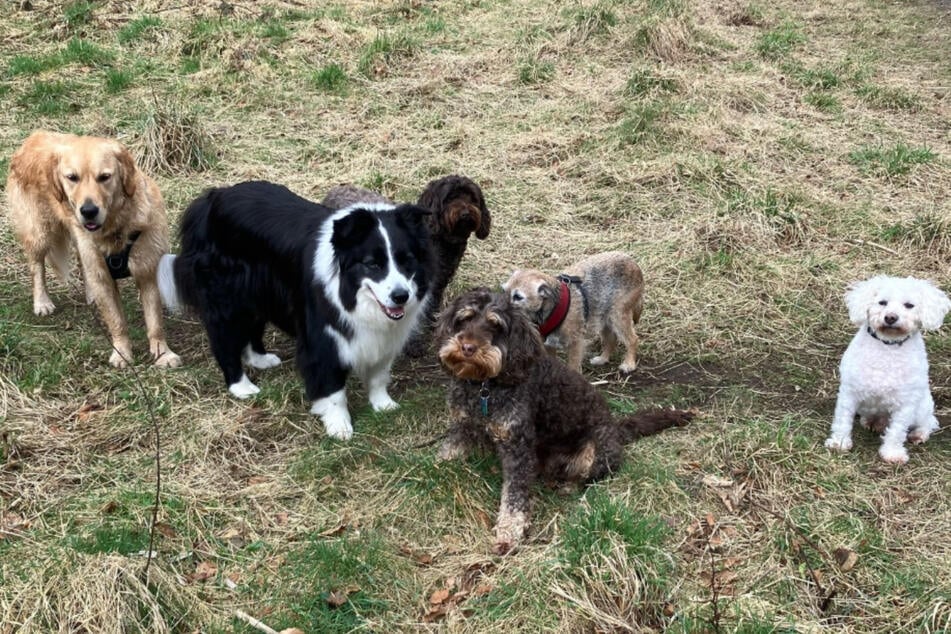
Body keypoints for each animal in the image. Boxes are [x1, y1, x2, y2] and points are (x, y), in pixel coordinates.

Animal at [434, 288, 692, 552]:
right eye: (464, 319)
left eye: (495, 326)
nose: (467, 347)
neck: (484, 386)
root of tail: (616, 428)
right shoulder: (462, 424)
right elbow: (449, 451)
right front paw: (434, 468)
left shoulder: (518, 448)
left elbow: (514, 498)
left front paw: (509, 532)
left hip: (593, 452)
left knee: (591, 476)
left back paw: (569, 486)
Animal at [824, 274, 951, 462]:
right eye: (882, 302)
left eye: (909, 305)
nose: (890, 317)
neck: (888, 346)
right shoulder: (849, 392)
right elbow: (842, 419)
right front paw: (839, 443)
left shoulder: (906, 403)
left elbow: (897, 431)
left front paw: (892, 454)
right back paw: (871, 422)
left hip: (922, 407)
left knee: (929, 422)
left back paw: (918, 434)